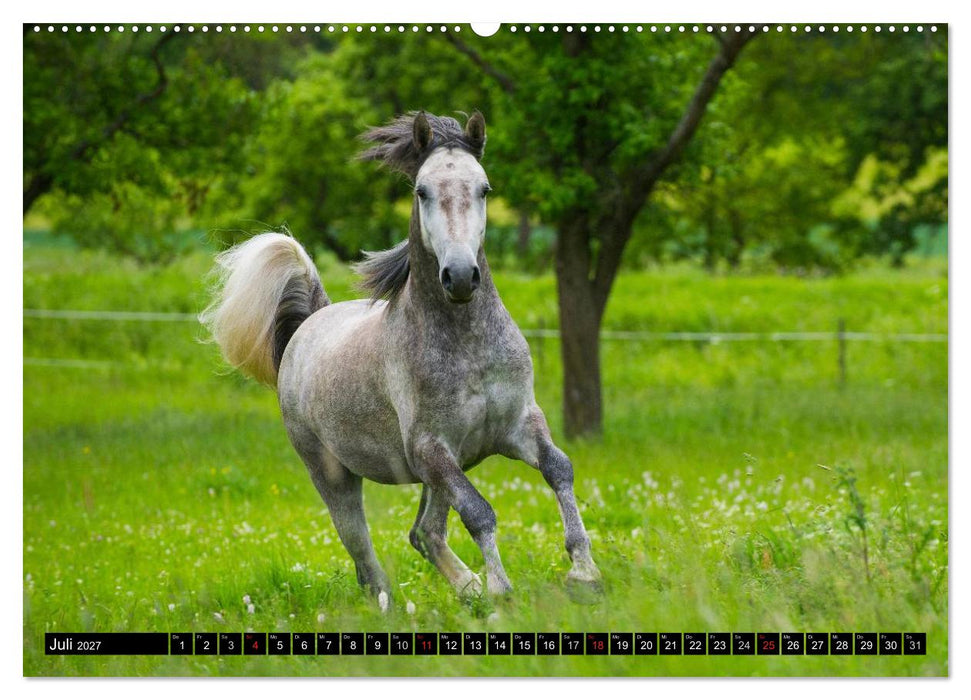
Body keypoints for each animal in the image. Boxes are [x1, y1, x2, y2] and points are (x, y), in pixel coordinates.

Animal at [201, 111, 601, 608]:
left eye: (484, 188)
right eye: (421, 191)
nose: (461, 276)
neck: (468, 346)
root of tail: (309, 324)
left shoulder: (518, 425)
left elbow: (559, 469)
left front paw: (584, 574)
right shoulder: (430, 448)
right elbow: (480, 512)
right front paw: (502, 593)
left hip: (441, 470)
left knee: (424, 534)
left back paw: (468, 591)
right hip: (335, 475)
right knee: (366, 561)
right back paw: (406, 606)